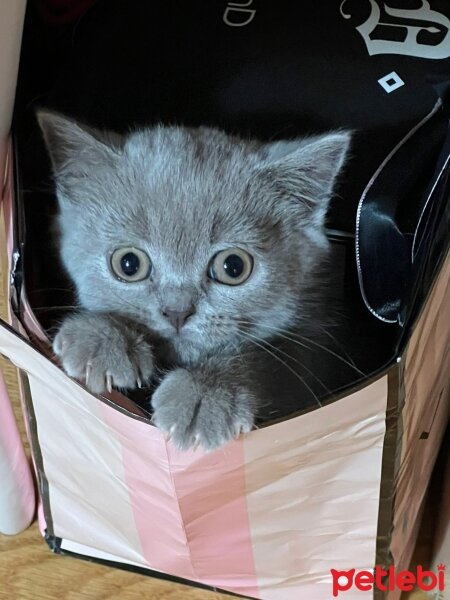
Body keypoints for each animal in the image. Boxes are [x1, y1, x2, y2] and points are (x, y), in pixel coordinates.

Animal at [37, 111, 350, 450]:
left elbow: (270, 358)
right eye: (129, 264)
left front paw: (205, 394)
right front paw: (100, 337)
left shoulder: (314, 346)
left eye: (233, 267)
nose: (177, 312)